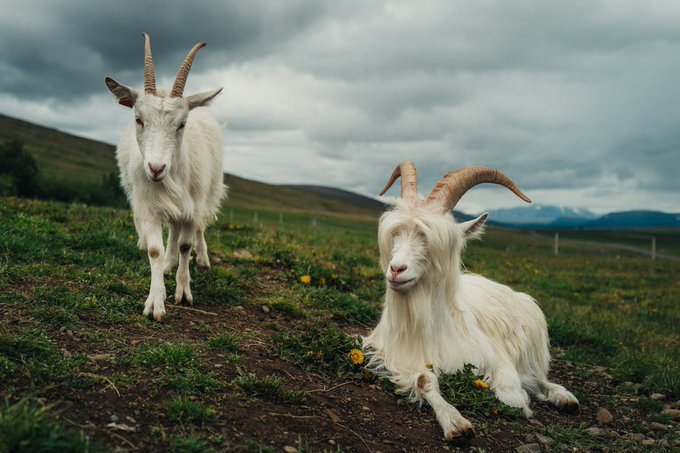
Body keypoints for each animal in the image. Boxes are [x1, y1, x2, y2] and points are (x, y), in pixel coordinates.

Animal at [104, 33, 226, 321]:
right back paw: (168, 264)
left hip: (209, 193)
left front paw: (183, 292)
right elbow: (155, 249)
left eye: (182, 124)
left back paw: (202, 260)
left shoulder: (193, 206)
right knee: (171, 228)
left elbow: (186, 244)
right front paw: (155, 302)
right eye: (138, 119)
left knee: (198, 229)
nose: (156, 168)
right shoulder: (148, 206)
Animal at [363, 161, 579, 443]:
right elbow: (424, 381)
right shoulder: (401, 357)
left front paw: (517, 398)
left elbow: (511, 391)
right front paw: (456, 423)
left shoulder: (494, 355)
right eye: (396, 234)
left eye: (431, 241)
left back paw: (563, 396)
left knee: (534, 375)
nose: (397, 269)